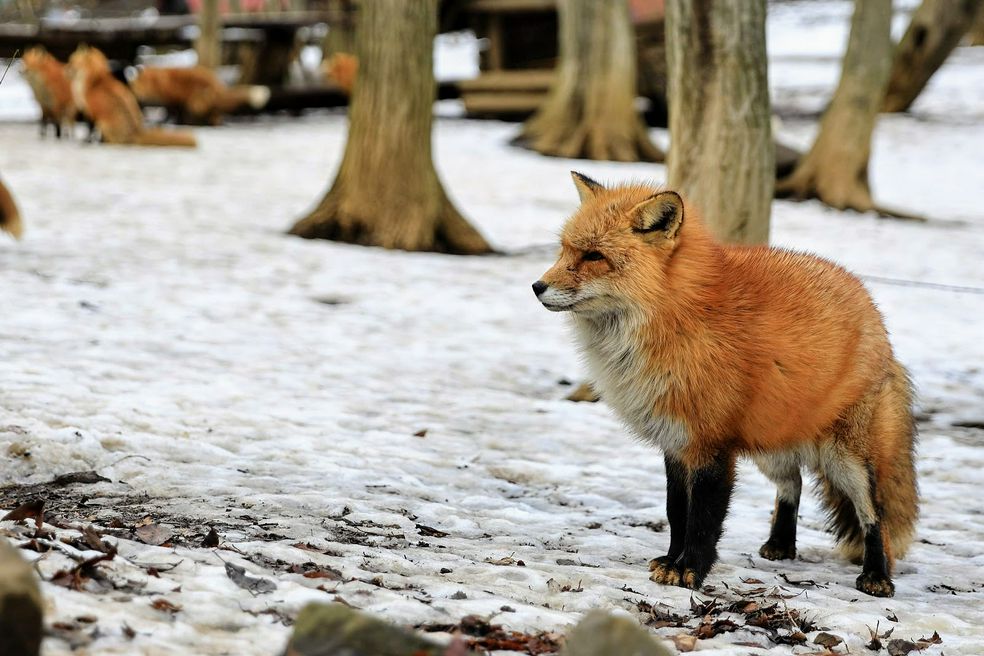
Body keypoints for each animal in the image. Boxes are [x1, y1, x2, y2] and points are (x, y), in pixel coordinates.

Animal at [66, 45, 197, 148]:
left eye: (71, 61)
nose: (66, 70)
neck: (94, 80)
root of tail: (137, 132)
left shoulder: (90, 112)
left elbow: (89, 131)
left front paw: (86, 142)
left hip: (105, 124)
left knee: (114, 142)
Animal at [129, 66, 272, 127]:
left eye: (137, 90)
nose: (136, 98)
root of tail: (218, 84)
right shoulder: (174, 103)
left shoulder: (174, 100)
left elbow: (171, 115)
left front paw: (169, 123)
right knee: (216, 115)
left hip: (194, 103)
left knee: (211, 116)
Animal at [536, 173, 920, 600]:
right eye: (565, 250)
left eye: (593, 256)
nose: (537, 286)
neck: (677, 317)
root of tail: (873, 309)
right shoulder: (676, 443)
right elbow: (676, 512)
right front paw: (671, 560)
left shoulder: (712, 444)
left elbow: (704, 518)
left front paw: (690, 570)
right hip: (771, 443)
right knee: (793, 483)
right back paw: (781, 544)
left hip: (848, 459)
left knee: (874, 514)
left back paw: (877, 575)